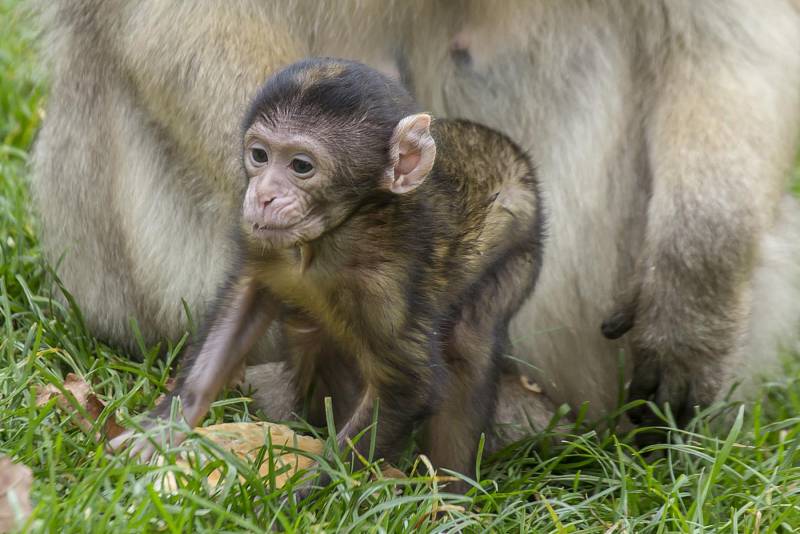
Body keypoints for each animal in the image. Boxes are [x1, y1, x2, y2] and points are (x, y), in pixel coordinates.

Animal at [112, 57, 548, 490]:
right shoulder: (265, 243)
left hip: (522, 248)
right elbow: (248, 295)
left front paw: (299, 496)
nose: (263, 196)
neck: (332, 236)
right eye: (259, 156)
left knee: (468, 343)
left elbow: (409, 387)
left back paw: (452, 493)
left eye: (301, 166)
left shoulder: (385, 287)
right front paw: (164, 426)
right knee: (311, 333)